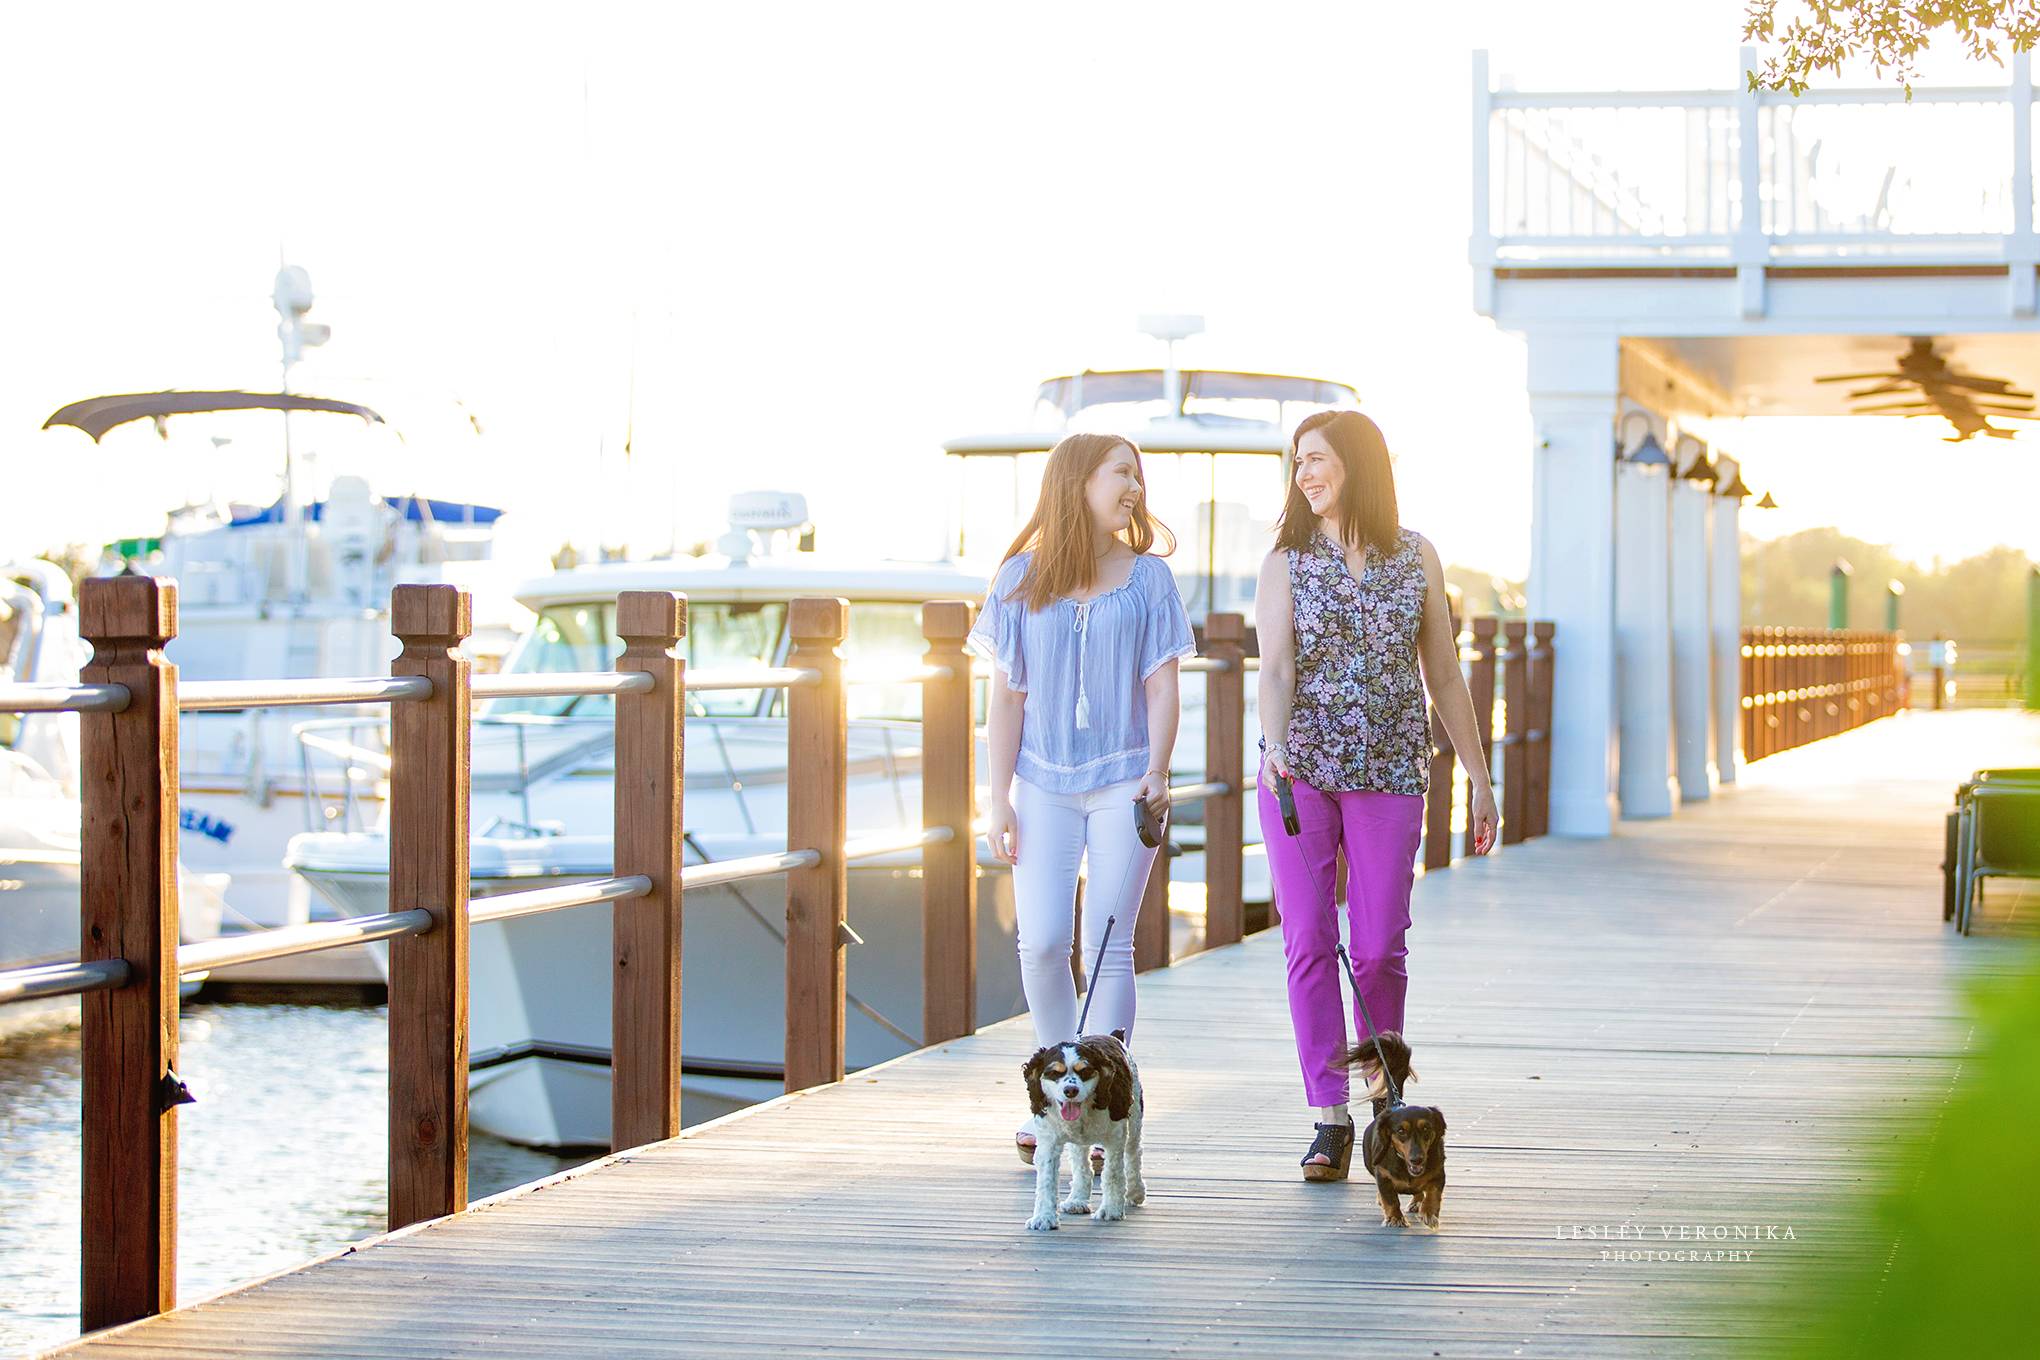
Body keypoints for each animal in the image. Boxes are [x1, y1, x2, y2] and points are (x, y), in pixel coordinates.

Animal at [1028, 1031, 1142, 1231]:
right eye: (1054, 1073)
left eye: (1085, 1071)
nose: (1070, 1090)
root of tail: (1113, 1035)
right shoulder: (1048, 1142)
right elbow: (1046, 1180)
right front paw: (1044, 1217)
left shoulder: (1115, 1137)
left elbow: (1112, 1174)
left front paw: (1111, 1210)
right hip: (1078, 1143)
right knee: (1081, 1165)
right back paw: (1077, 1201)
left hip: (1134, 1119)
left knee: (1133, 1154)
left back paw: (1136, 1192)